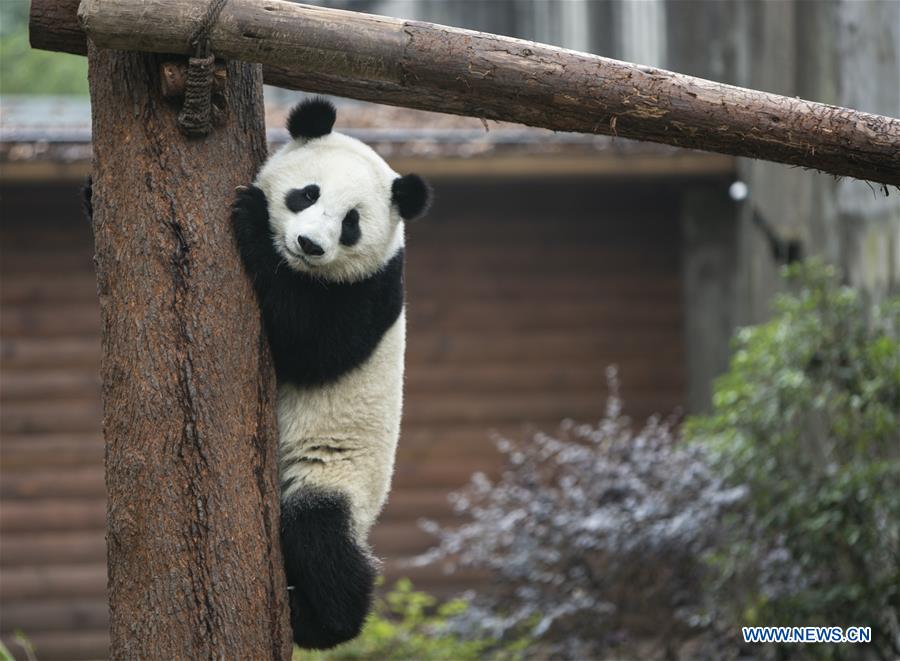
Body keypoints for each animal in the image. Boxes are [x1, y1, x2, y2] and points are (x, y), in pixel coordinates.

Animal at [231, 98, 431, 649]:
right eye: (308, 193)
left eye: (350, 223)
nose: (309, 244)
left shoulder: (372, 289)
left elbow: (313, 346)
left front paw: (250, 218)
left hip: (336, 475)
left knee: (320, 538)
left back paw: (326, 621)